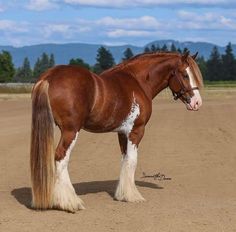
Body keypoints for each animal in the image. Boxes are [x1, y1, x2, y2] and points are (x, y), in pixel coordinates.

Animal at [30, 51, 203, 213]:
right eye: (185, 74)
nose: (197, 103)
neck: (138, 81)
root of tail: (49, 77)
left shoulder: (122, 132)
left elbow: (124, 159)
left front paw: (122, 194)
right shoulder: (136, 131)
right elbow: (132, 161)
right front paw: (133, 196)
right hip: (70, 131)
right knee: (60, 157)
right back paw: (70, 202)